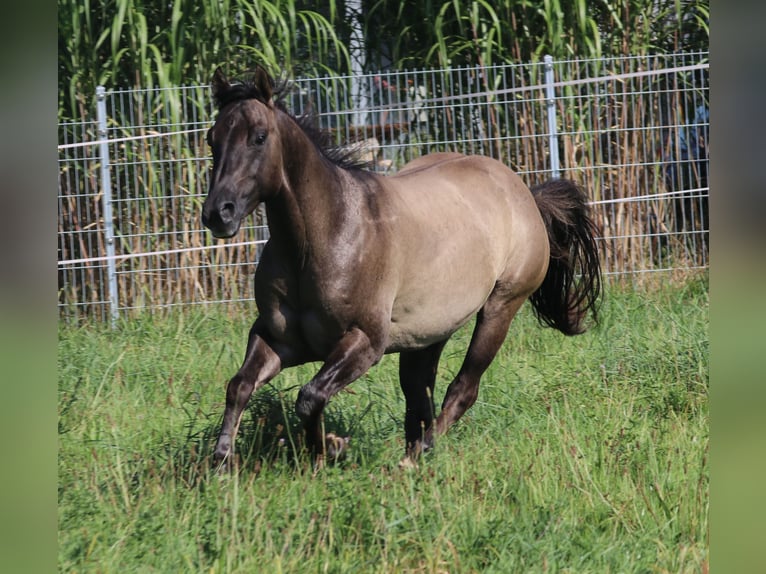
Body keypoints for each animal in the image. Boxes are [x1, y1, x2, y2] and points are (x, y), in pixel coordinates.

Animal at [204, 67, 608, 470]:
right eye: (212, 139)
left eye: (259, 137)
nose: (218, 213)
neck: (324, 237)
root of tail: (524, 193)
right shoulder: (279, 340)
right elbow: (239, 386)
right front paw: (223, 461)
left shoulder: (366, 341)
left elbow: (310, 395)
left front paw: (330, 448)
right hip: (429, 333)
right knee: (419, 394)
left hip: (500, 308)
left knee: (462, 390)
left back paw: (415, 457)